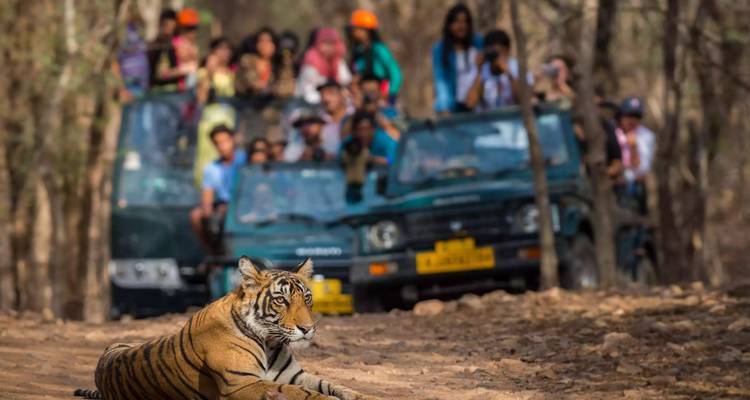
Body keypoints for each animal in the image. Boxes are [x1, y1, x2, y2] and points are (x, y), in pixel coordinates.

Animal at [74, 257, 377, 400]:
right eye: (281, 300)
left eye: (307, 299)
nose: (307, 328)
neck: (270, 342)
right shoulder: (242, 384)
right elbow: (303, 394)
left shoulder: (295, 376)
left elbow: (332, 384)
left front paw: (362, 395)